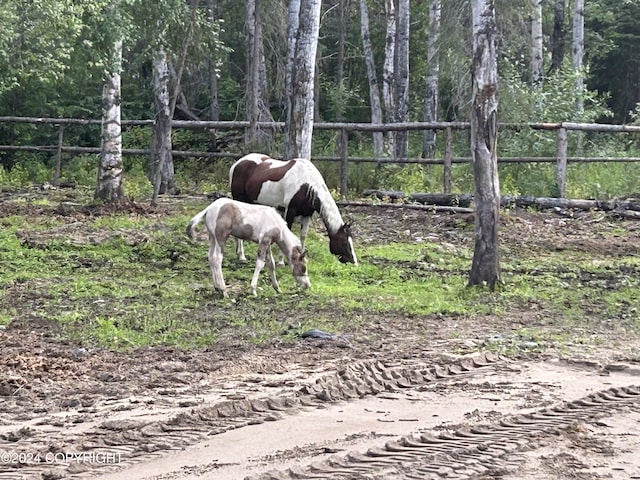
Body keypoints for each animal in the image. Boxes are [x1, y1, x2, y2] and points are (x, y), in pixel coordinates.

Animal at [184, 196, 312, 296]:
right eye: (303, 268)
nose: (308, 285)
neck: (278, 225)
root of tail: (208, 209)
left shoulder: (268, 243)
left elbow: (271, 264)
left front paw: (277, 288)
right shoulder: (264, 241)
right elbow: (260, 264)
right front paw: (253, 290)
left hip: (213, 238)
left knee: (210, 257)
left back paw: (217, 288)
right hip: (221, 238)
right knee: (217, 258)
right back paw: (223, 290)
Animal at [229, 154, 360, 266]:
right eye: (345, 242)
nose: (354, 263)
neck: (307, 185)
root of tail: (237, 164)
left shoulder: (307, 214)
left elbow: (303, 236)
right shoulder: (290, 211)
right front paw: (281, 261)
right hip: (239, 199)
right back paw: (241, 256)